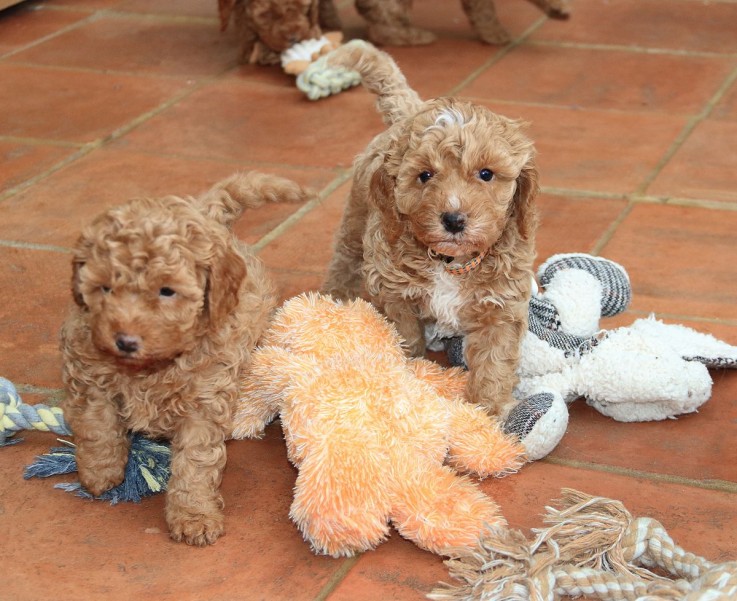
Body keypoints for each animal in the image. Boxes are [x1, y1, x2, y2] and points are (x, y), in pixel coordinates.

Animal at [59, 171, 310, 548]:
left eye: (167, 291)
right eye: (105, 288)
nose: (125, 341)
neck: (151, 367)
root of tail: (207, 213)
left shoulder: (204, 401)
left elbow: (195, 462)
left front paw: (194, 515)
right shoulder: (86, 370)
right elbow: (96, 425)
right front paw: (100, 470)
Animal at [322, 42, 540, 420]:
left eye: (486, 174)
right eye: (425, 175)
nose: (453, 219)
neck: (450, 262)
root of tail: (408, 111)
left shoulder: (500, 305)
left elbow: (494, 360)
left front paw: (487, 411)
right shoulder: (394, 291)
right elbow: (405, 336)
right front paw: (407, 373)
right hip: (355, 218)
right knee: (344, 258)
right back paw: (334, 301)